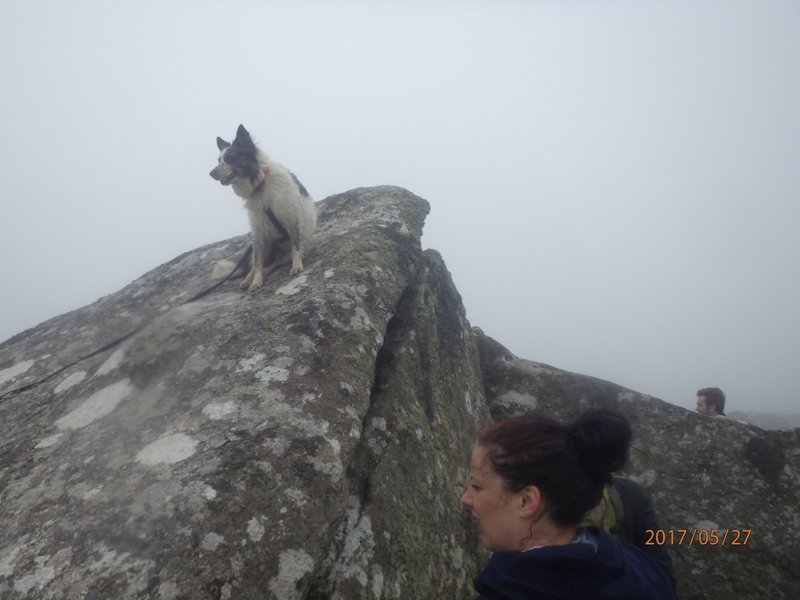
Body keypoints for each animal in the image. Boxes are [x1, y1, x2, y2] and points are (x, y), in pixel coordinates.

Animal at [209, 124, 316, 290]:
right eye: (219, 160)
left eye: (230, 158)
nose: (211, 173)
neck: (261, 185)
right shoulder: (258, 232)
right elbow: (258, 262)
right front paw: (256, 281)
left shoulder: (292, 218)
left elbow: (296, 246)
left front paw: (297, 265)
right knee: (255, 264)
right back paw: (248, 279)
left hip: (281, 254)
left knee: (274, 263)